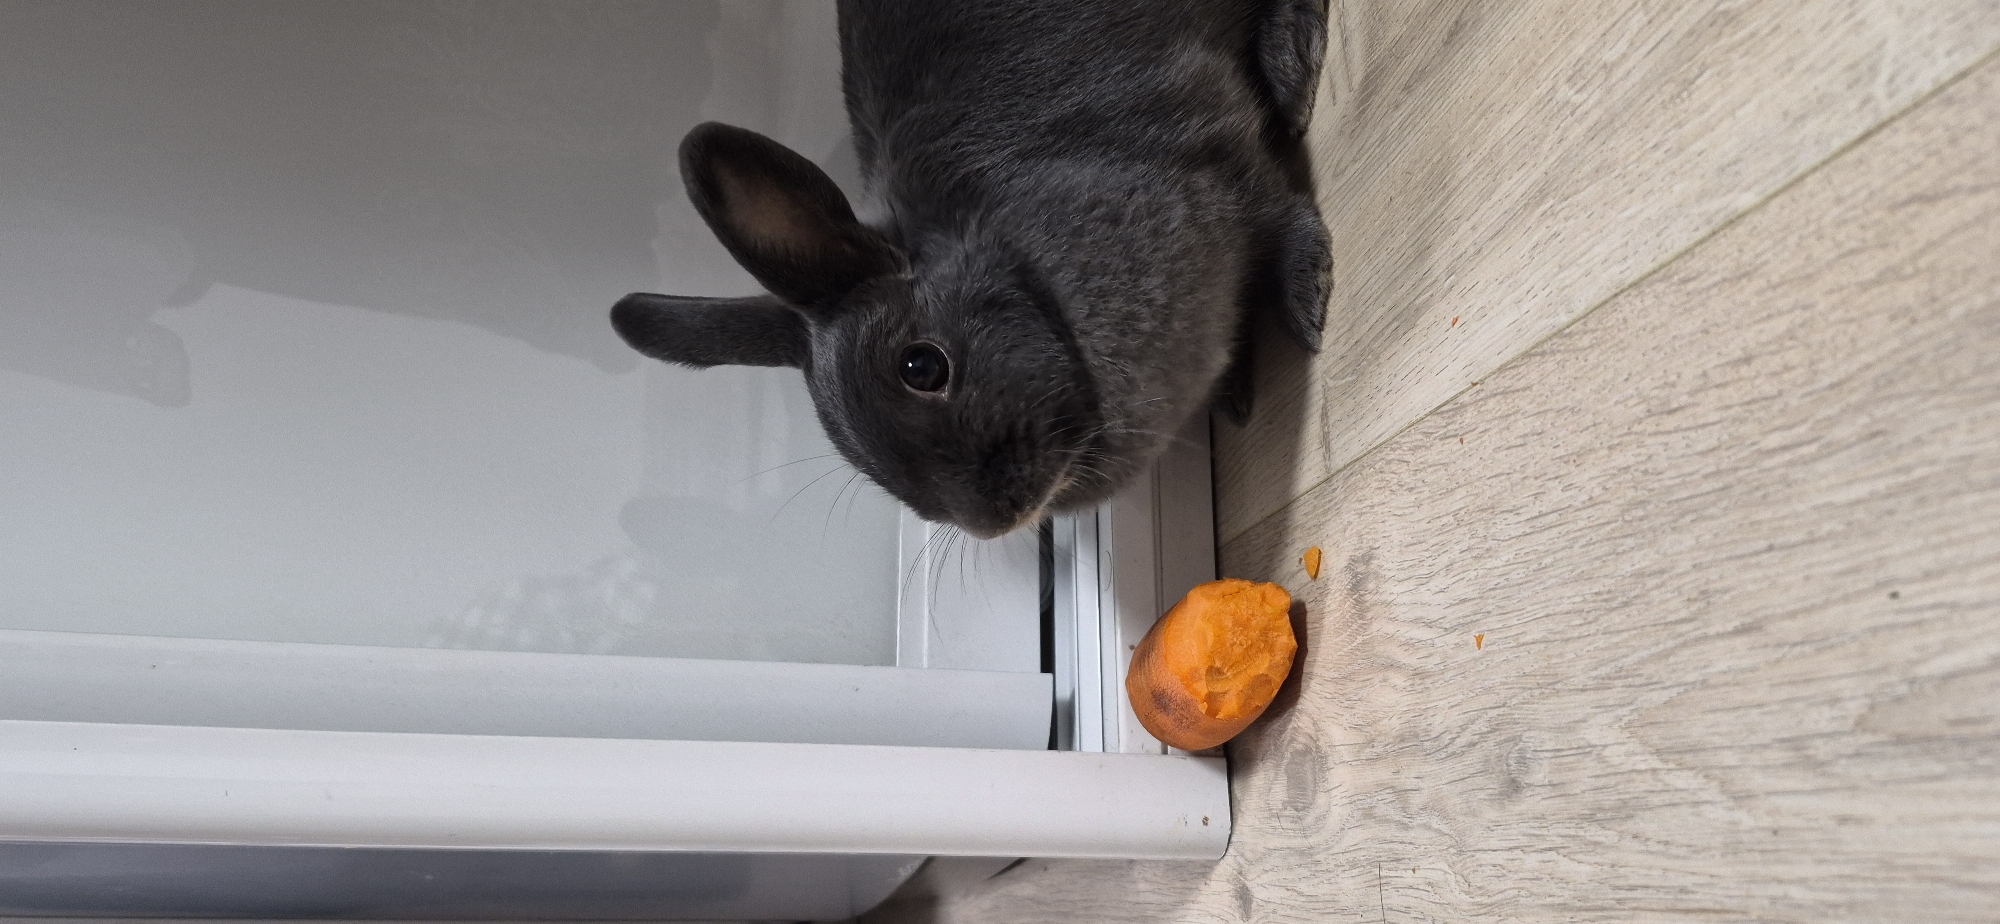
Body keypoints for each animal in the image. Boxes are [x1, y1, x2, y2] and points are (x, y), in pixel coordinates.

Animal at [612, 0, 1331, 539]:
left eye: (922, 366)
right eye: (854, 457)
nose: (996, 521)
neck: (1029, 281)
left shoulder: (1203, 143)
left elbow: (1274, 205)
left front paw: (1309, 302)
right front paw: (1236, 388)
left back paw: (1296, 62)